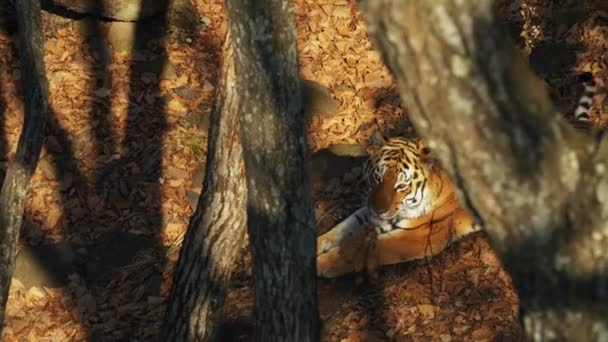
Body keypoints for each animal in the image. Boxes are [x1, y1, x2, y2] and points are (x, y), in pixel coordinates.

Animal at [316, 72, 600, 278]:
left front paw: (324, 265)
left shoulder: (418, 235)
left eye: (401, 186)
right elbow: (340, 229)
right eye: (377, 178)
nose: (379, 208)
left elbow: (362, 250)